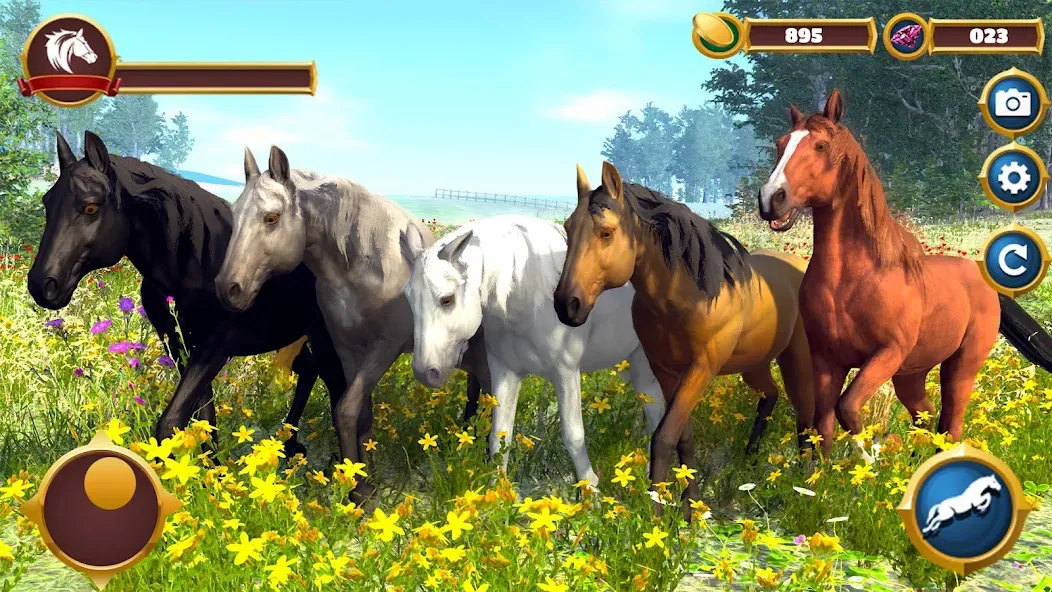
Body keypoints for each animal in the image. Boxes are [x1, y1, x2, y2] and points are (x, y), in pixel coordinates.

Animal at [27, 131, 346, 457]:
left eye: (90, 207)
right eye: (47, 203)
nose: (42, 285)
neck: (195, 261)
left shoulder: (215, 345)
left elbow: (173, 420)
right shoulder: (180, 345)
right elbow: (204, 416)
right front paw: (209, 466)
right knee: (310, 370)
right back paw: (289, 442)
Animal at [214, 146, 491, 504]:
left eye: (271, 218)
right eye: (234, 215)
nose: (228, 288)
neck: (361, 265)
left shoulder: (384, 347)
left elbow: (346, 409)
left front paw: (360, 491)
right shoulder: (348, 348)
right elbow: (360, 412)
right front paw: (363, 479)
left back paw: (470, 436)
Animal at [400, 215, 665, 487]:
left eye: (447, 299)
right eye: (408, 298)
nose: (425, 372)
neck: (527, 293)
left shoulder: (566, 372)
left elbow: (573, 434)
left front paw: (590, 489)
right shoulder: (505, 372)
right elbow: (500, 435)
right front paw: (499, 491)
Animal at [554, 162, 816, 512]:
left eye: (606, 232)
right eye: (569, 229)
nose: (566, 305)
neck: (687, 296)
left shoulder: (700, 369)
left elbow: (664, 436)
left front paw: (656, 510)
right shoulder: (665, 370)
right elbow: (683, 435)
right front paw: (690, 505)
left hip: (796, 358)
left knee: (806, 414)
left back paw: (806, 480)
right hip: (754, 363)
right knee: (770, 396)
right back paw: (749, 461)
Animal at [757, 89, 1052, 454]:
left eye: (821, 146)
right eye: (780, 143)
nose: (771, 200)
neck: (849, 281)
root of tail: (983, 278)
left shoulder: (888, 352)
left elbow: (847, 407)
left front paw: (876, 449)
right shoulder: (827, 361)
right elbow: (823, 428)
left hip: (959, 367)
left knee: (950, 425)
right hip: (910, 374)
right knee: (926, 416)